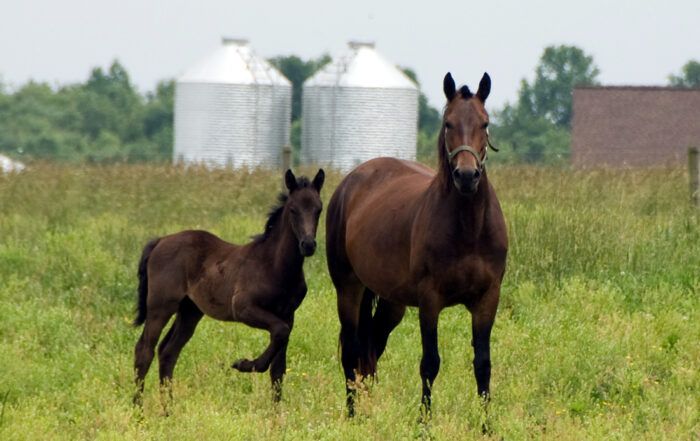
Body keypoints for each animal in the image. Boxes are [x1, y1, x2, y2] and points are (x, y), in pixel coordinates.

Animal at [132, 168, 325, 405]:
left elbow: (278, 367)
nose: (308, 245)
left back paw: (168, 408)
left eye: (319, 209)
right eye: (293, 209)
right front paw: (243, 364)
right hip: (161, 305)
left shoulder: (288, 315)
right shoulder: (243, 308)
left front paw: (277, 413)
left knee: (168, 351)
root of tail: (160, 241)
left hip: (190, 311)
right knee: (145, 350)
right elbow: (279, 332)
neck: (274, 264)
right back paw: (138, 408)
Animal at [325, 72, 508, 419]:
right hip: (348, 288)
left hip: (391, 302)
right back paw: (353, 415)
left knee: (371, 351)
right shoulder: (430, 299)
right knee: (352, 353)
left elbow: (484, 365)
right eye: (448, 123)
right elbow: (430, 363)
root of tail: (352, 180)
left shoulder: (487, 299)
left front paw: (487, 424)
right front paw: (424, 422)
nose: (467, 176)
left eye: (485, 123)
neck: (469, 229)